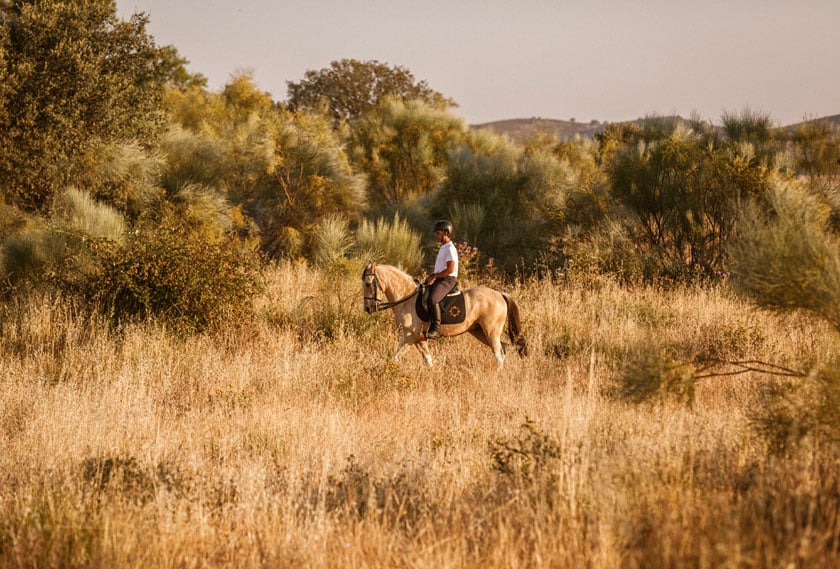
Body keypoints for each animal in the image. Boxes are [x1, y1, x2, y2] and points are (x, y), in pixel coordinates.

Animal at [362, 262, 528, 368]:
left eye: (368, 284)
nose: (368, 308)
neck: (407, 298)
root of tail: (499, 294)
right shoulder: (419, 338)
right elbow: (428, 360)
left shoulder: (409, 336)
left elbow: (394, 357)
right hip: (479, 332)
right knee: (503, 349)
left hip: (490, 332)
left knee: (499, 354)